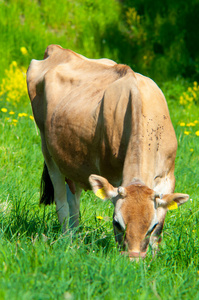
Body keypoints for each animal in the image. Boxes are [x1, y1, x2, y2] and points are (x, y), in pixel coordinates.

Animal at [26, 45, 190, 260]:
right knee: (62, 203)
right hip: (48, 151)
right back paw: (67, 241)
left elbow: (160, 230)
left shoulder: (167, 177)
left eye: (151, 226)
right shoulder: (115, 176)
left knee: (74, 200)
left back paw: (75, 238)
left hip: (73, 161)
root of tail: (58, 49)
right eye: (117, 223)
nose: (133, 260)